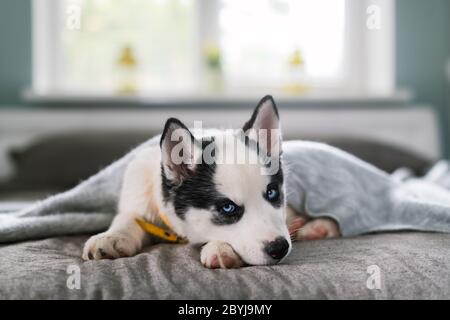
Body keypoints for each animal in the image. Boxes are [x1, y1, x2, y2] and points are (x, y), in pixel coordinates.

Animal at [81, 95, 338, 268]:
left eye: (273, 193)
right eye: (228, 208)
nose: (280, 248)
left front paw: (220, 248)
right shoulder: (138, 194)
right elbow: (127, 218)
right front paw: (112, 237)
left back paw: (320, 226)